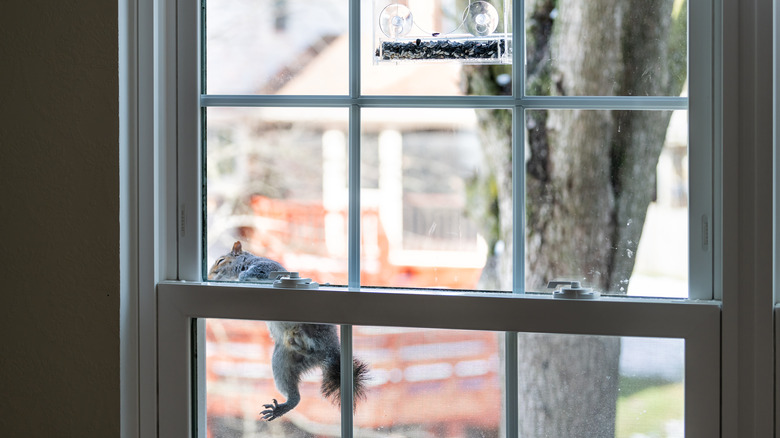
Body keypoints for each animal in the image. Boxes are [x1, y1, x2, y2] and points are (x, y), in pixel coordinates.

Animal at [206, 241, 368, 422]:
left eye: (220, 260)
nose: (210, 275)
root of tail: (327, 354)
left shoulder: (265, 267)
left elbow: (255, 272)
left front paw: (244, 275)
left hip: (317, 334)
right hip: (282, 361)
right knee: (294, 392)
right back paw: (284, 405)